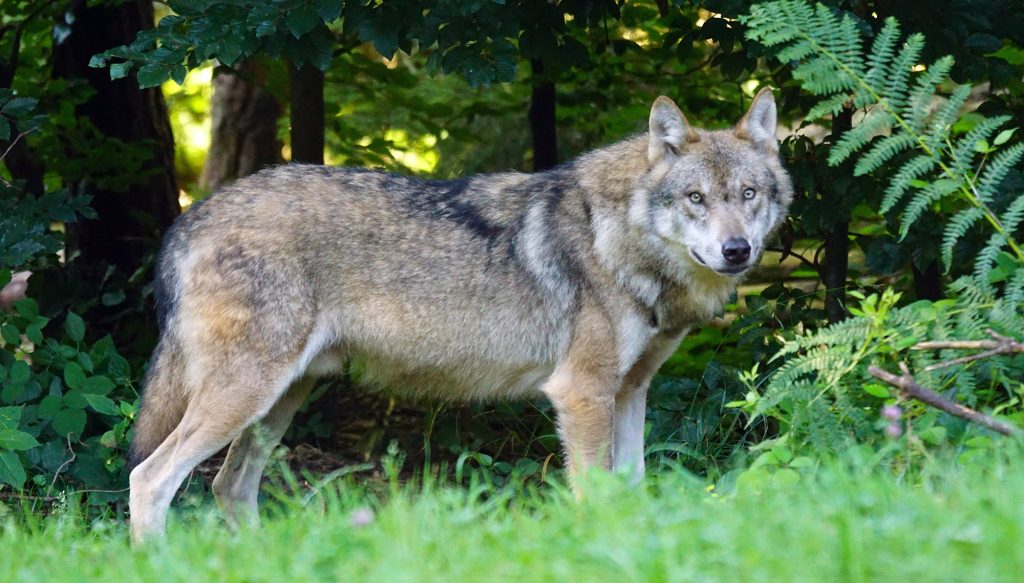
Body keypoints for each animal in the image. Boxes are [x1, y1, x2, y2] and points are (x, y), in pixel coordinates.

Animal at [127, 88, 792, 540]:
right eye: (696, 198)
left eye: (748, 195)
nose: (737, 250)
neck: (617, 238)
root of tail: (190, 217)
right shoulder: (582, 394)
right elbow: (596, 497)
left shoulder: (630, 392)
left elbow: (632, 490)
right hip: (246, 396)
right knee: (150, 478)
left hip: (279, 402)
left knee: (228, 487)